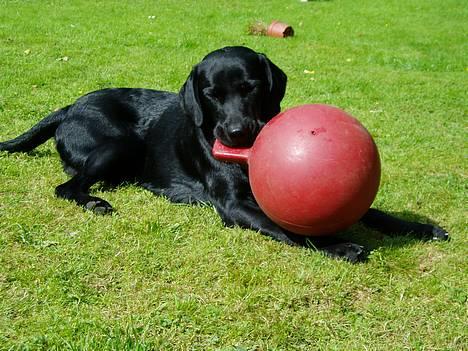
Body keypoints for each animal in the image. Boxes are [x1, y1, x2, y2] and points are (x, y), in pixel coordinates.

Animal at [0, 46, 450, 262]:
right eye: (212, 95)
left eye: (250, 86)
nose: (235, 133)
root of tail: (70, 106)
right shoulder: (235, 206)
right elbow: (287, 226)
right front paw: (338, 246)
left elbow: (372, 211)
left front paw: (418, 228)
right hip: (120, 144)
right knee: (66, 186)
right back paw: (94, 201)